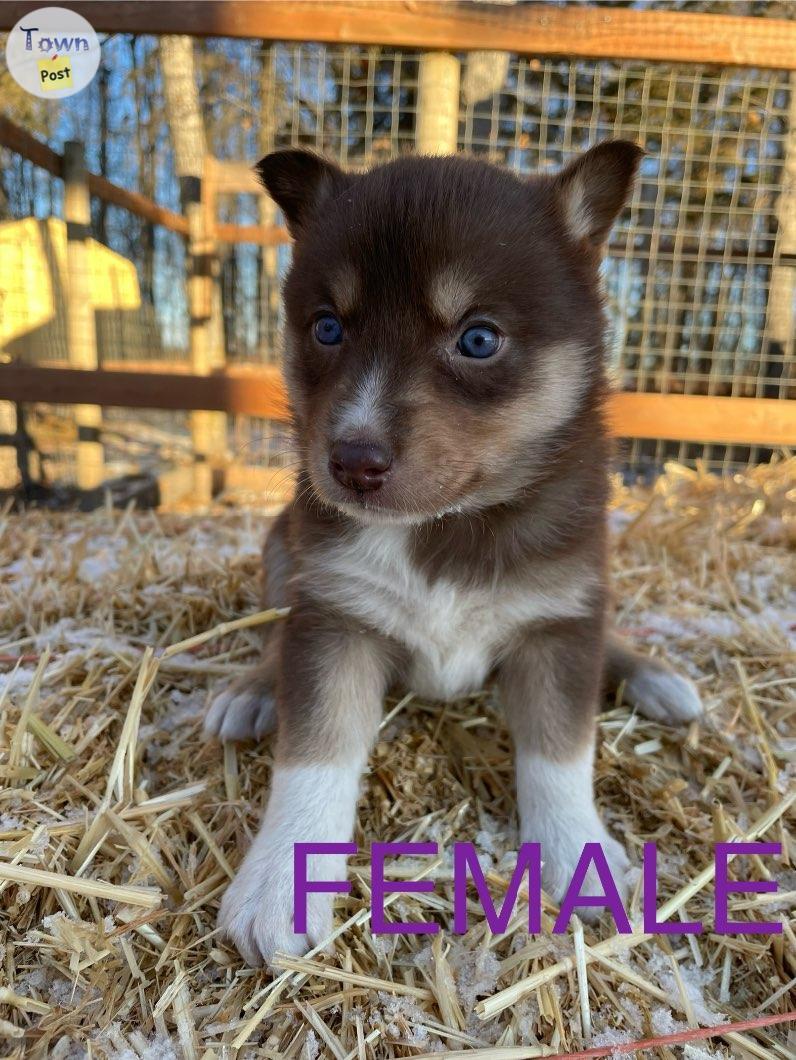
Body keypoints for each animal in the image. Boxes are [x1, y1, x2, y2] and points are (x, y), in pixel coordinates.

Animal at [206, 143, 703, 970]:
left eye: (477, 339)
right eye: (327, 328)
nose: (351, 461)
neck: (444, 527)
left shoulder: (559, 621)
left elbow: (559, 753)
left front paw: (578, 857)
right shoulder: (332, 616)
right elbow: (314, 755)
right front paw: (278, 885)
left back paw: (656, 677)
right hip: (282, 548)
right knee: (275, 632)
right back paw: (251, 689)